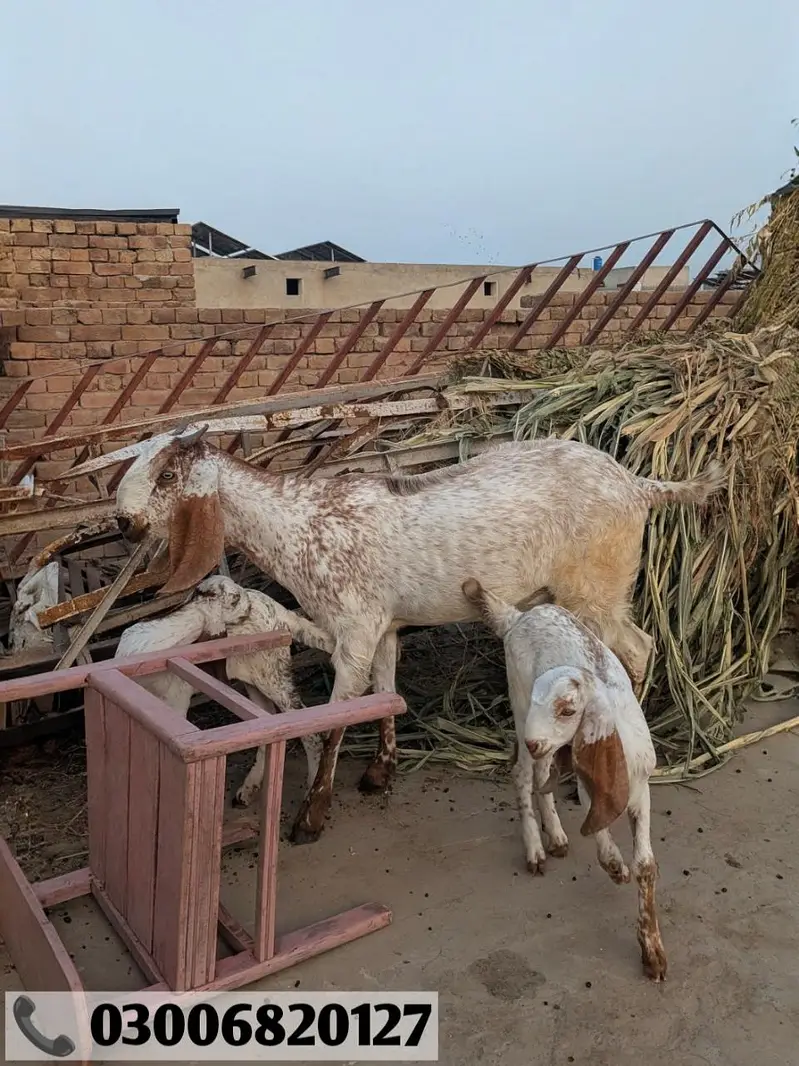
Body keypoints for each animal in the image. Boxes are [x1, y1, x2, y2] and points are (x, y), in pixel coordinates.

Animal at [116, 575, 334, 806]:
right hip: (254, 680)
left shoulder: (177, 702)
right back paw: (250, 786)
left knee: (309, 732)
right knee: (268, 719)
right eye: (235, 597)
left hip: (274, 679)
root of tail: (278, 609)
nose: (248, 604)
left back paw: (310, 789)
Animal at [463, 577, 666, 982]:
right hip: (520, 706)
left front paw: (652, 952)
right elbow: (599, 832)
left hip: (550, 745)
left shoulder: (642, 792)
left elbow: (646, 865)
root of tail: (518, 616)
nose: (531, 739)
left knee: (543, 775)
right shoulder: (590, 788)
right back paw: (535, 848)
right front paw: (615, 866)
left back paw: (555, 836)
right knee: (524, 774)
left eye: (569, 710)